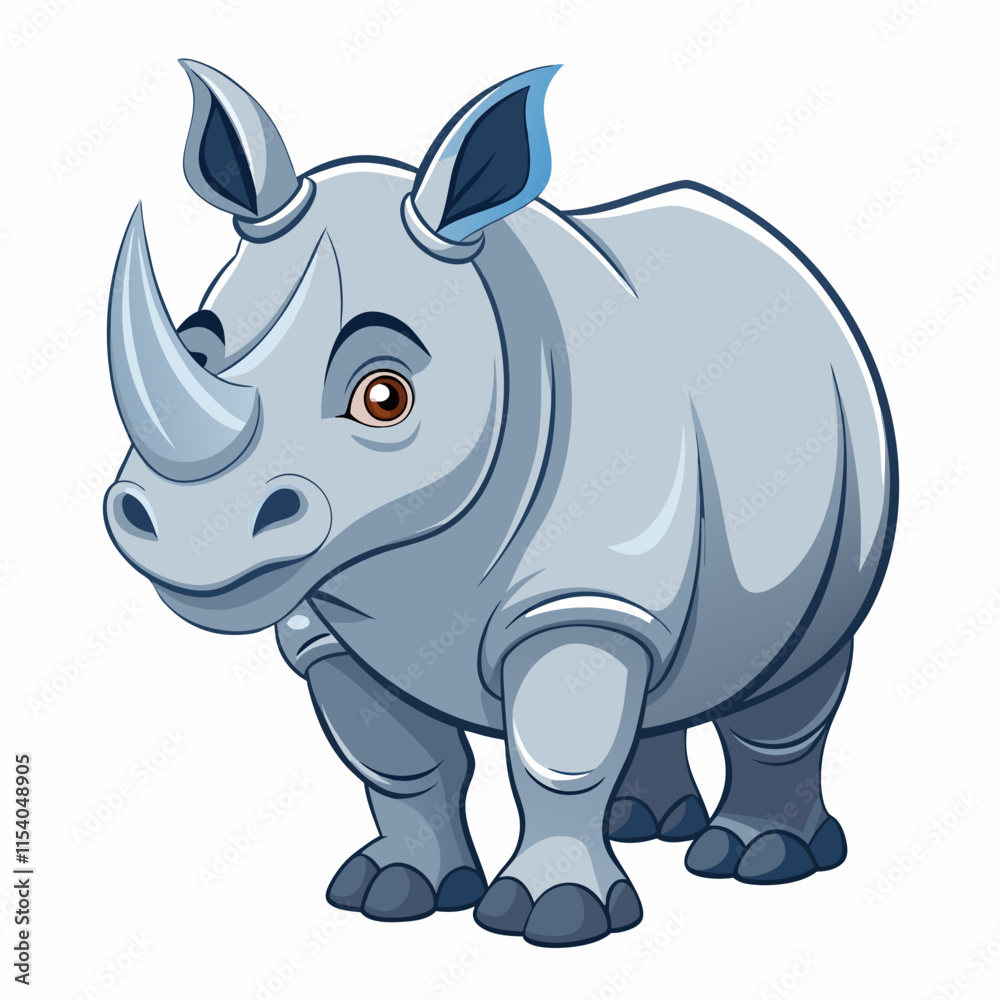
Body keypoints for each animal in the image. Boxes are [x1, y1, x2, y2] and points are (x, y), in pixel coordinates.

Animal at [104, 61, 897, 947]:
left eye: (385, 397)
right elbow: (401, 762)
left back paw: (756, 858)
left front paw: (555, 915)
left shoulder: (582, 597)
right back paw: (646, 825)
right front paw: (396, 890)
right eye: (199, 345)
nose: (183, 528)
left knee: (794, 676)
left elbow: (557, 756)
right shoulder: (324, 622)